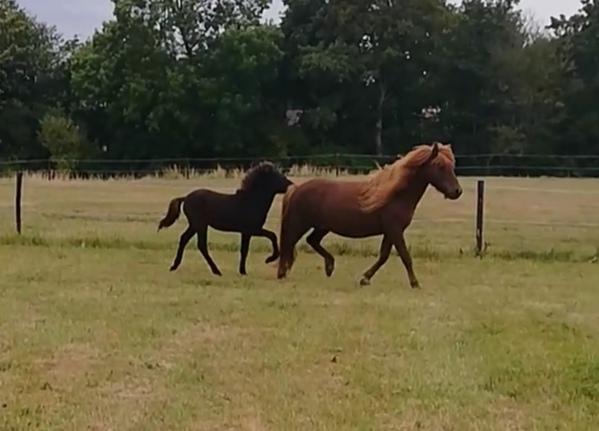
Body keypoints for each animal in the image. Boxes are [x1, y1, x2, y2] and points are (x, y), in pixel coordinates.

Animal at [158, 162, 292, 276]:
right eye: (277, 176)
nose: (291, 185)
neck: (251, 201)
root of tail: (185, 198)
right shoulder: (251, 230)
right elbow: (271, 237)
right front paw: (268, 259)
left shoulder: (247, 232)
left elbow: (244, 250)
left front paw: (242, 271)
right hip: (200, 225)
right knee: (201, 245)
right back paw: (216, 271)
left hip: (195, 225)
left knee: (184, 239)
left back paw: (174, 266)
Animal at [278, 143, 464, 288]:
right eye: (439, 166)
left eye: (452, 166)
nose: (457, 191)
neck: (396, 195)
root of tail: (296, 188)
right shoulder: (395, 230)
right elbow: (405, 256)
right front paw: (415, 283)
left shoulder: (390, 232)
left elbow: (384, 256)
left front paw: (365, 279)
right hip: (300, 224)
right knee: (289, 243)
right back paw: (282, 273)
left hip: (322, 227)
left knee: (311, 241)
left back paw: (329, 267)